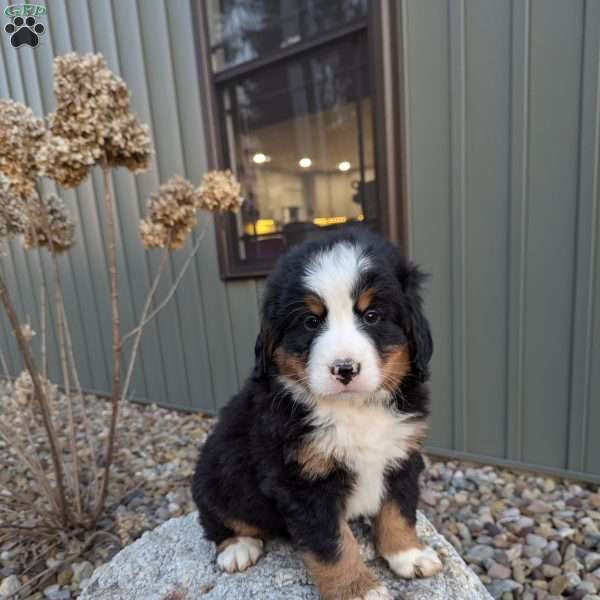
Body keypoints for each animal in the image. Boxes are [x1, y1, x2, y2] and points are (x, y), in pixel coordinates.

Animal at [192, 230, 440, 600]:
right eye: (310, 322)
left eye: (372, 316)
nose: (345, 369)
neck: (353, 409)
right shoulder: (302, 480)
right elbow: (333, 545)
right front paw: (357, 589)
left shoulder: (402, 453)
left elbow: (399, 510)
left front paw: (408, 554)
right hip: (214, 475)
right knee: (216, 519)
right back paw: (238, 547)